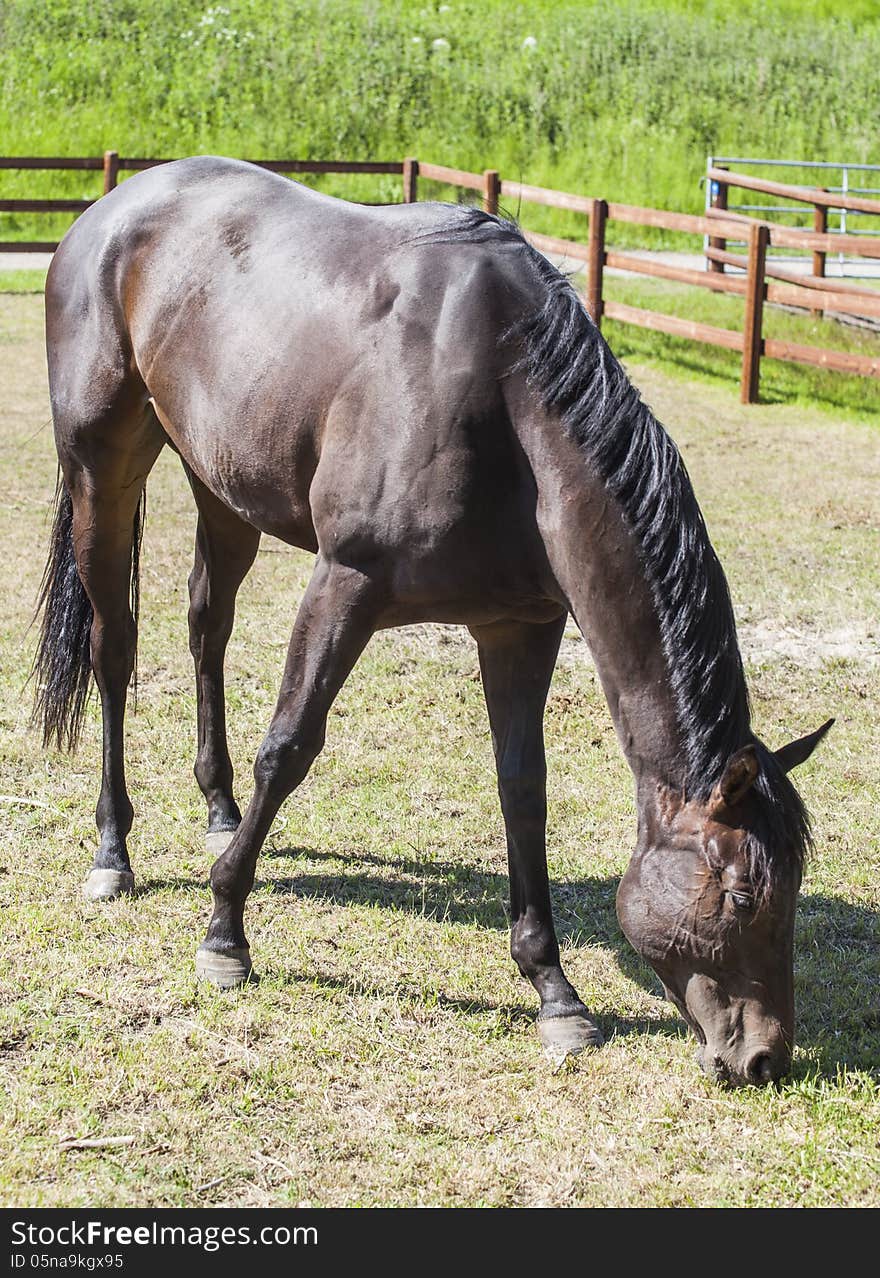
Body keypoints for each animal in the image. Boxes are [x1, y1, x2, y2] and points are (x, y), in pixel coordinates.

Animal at [34, 154, 832, 1083]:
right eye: (740, 894)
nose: (765, 1056)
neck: (503, 404)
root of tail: (116, 205)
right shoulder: (345, 584)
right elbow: (289, 747)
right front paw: (225, 932)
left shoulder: (520, 626)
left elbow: (524, 790)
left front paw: (554, 990)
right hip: (102, 467)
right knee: (113, 649)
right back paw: (113, 850)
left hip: (221, 482)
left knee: (207, 625)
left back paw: (218, 809)